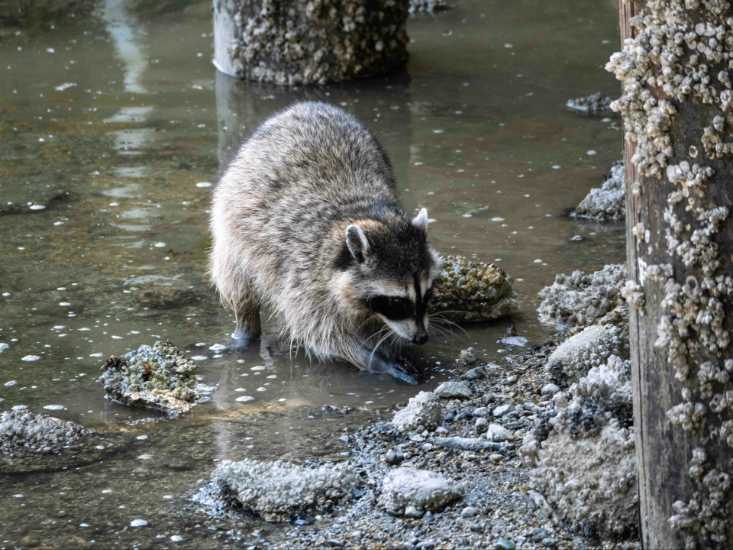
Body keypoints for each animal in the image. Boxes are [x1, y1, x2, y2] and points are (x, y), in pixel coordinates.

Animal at [209, 102, 441, 383]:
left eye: (427, 293)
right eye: (396, 302)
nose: (421, 338)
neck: (366, 214)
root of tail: (306, 105)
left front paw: (390, 345)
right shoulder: (303, 278)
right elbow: (324, 335)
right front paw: (377, 360)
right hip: (231, 228)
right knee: (235, 281)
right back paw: (246, 327)